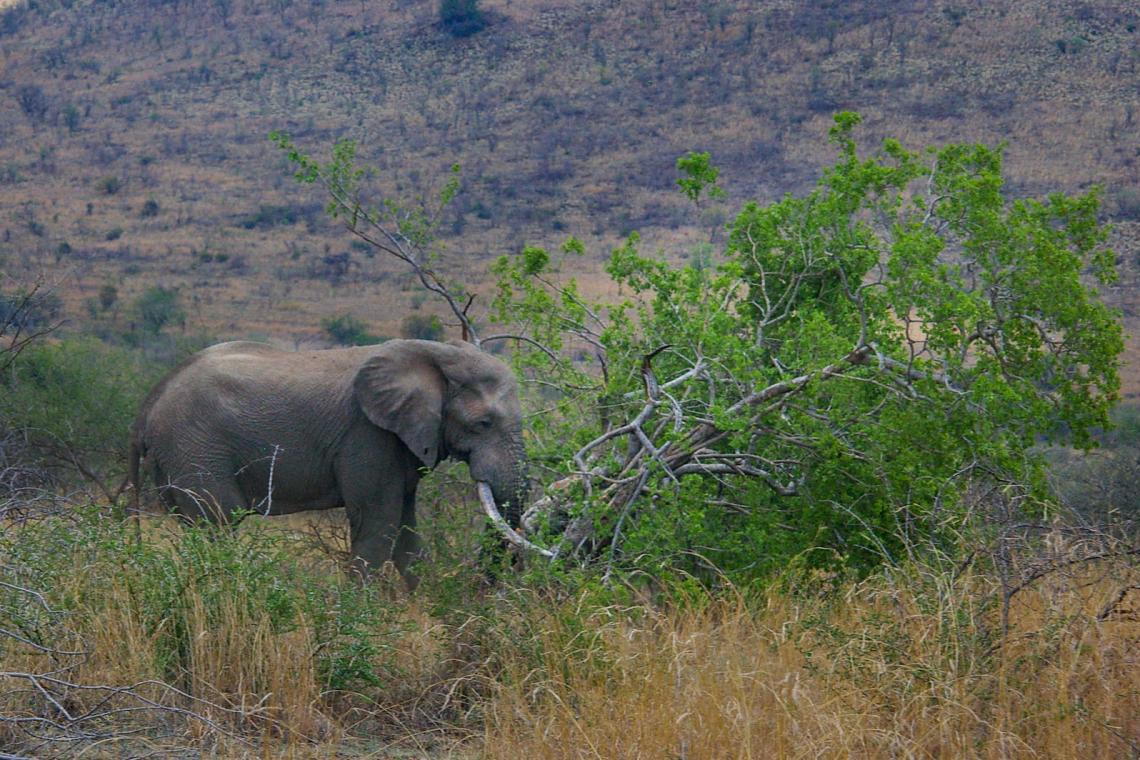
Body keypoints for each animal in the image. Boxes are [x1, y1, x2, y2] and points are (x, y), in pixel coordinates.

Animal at [128, 339, 528, 584]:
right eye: (484, 423)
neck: (437, 351)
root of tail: (150, 402)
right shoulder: (367, 436)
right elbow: (378, 523)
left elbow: (405, 529)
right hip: (195, 448)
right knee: (217, 524)